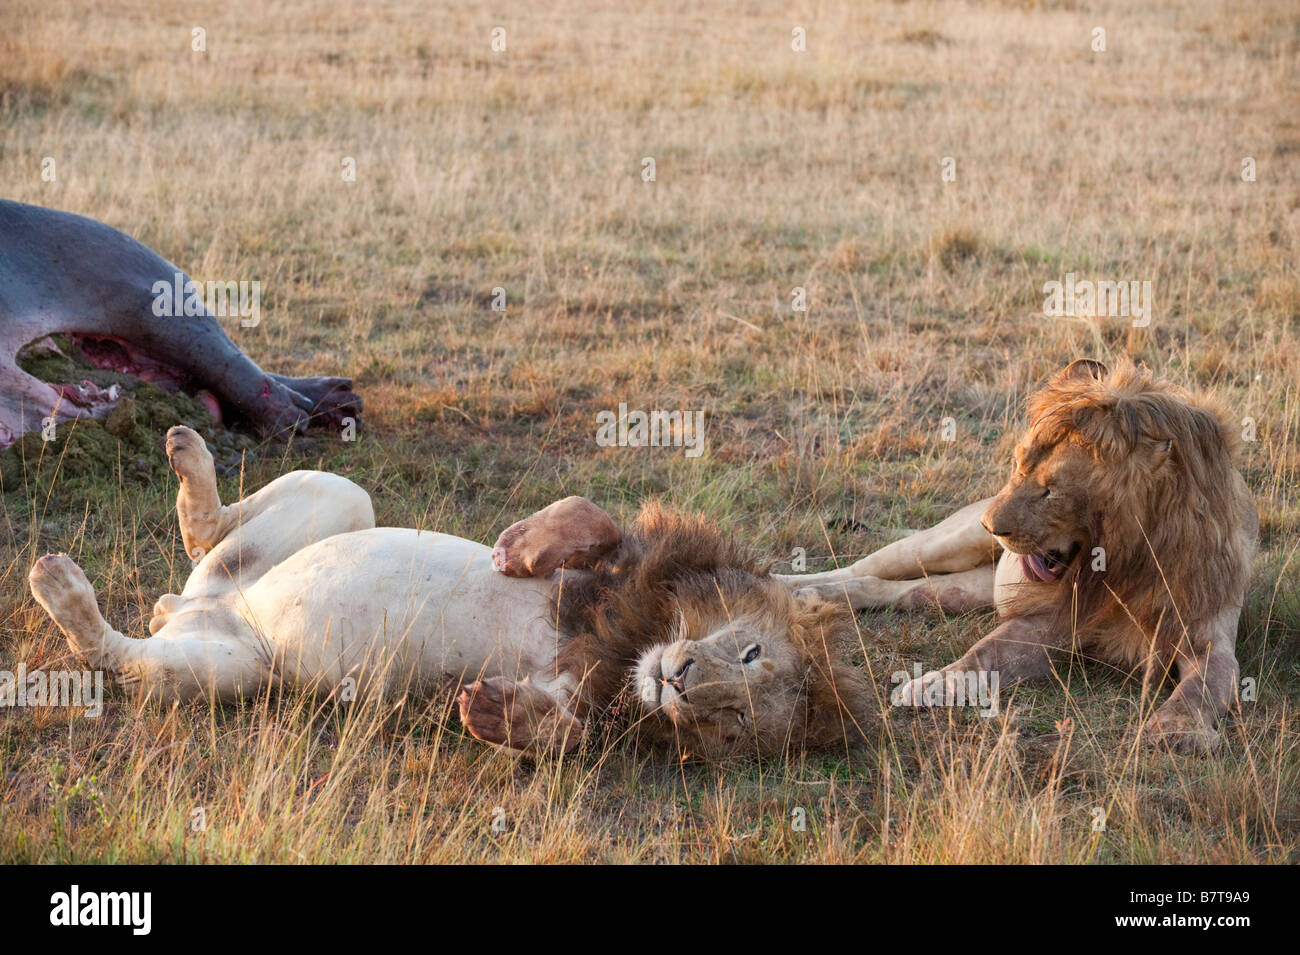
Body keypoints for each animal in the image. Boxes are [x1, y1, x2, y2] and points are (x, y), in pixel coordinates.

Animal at [27, 428, 873, 758]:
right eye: (751, 651)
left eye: (735, 724)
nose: (683, 682)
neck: (639, 642)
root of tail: (202, 608)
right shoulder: (628, 565)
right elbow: (595, 520)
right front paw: (525, 544)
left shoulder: (578, 690)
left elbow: (567, 734)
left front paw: (495, 714)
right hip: (338, 495)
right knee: (210, 539)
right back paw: (186, 456)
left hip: (231, 666)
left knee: (123, 653)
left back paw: (64, 588)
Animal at [785, 358, 1253, 753]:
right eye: (1017, 465)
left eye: (1050, 490)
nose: (990, 527)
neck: (1125, 566)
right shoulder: (1050, 620)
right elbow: (983, 653)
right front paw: (932, 683)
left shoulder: (1206, 636)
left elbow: (1203, 686)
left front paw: (1176, 729)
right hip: (943, 545)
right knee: (864, 568)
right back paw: (790, 588)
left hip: (964, 590)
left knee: (893, 589)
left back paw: (810, 601)